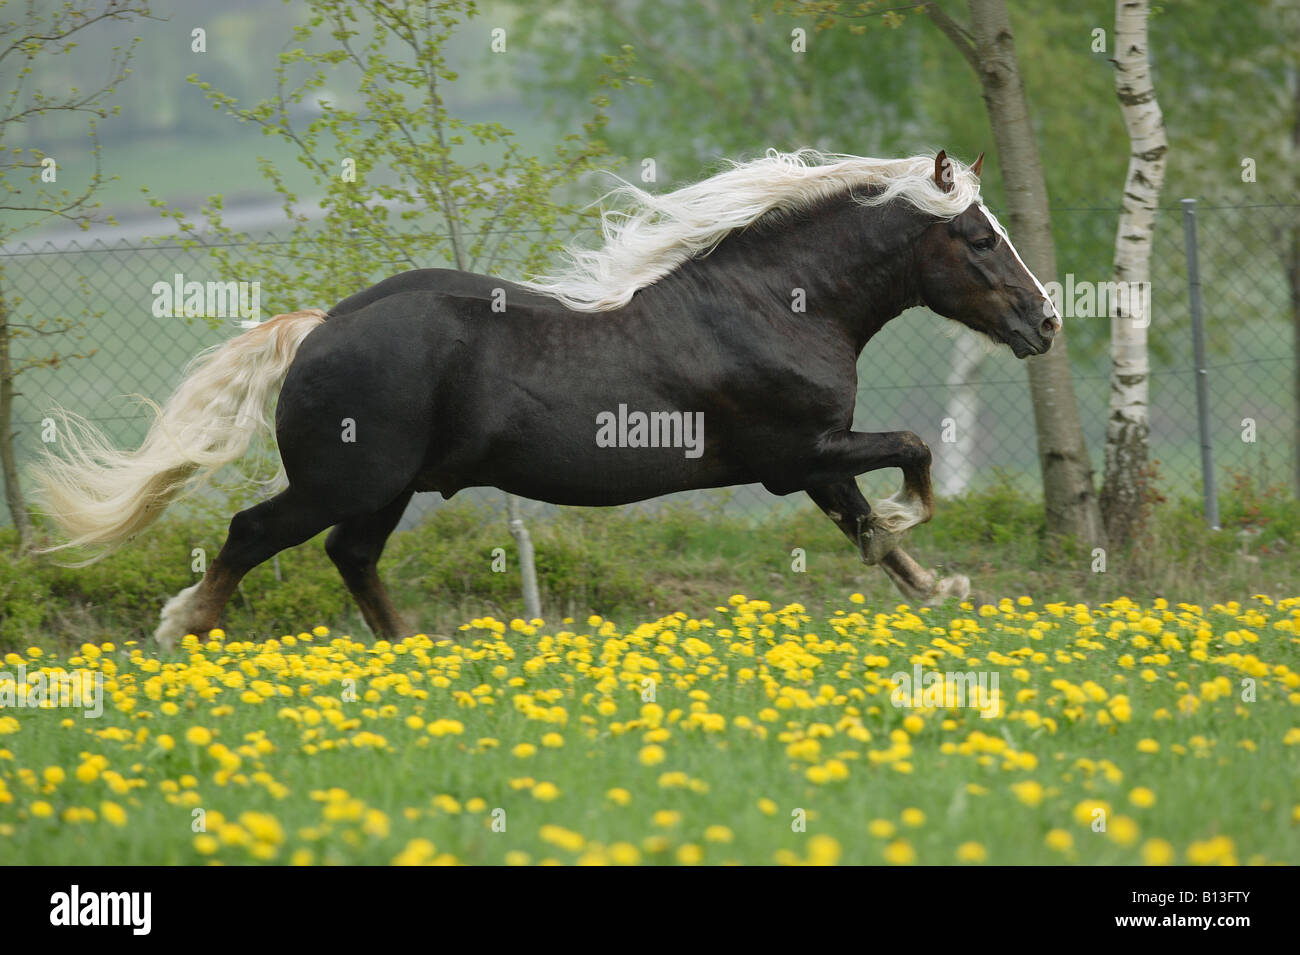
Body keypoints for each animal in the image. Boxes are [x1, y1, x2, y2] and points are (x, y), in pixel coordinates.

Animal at [32, 149, 1061, 649]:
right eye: (977, 237)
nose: (1046, 321)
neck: (774, 303)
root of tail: (320, 327)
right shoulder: (794, 457)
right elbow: (912, 457)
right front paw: (922, 530)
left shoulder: (814, 460)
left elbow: (867, 531)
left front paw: (939, 587)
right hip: (345, 479)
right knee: (255, 531)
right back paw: (187, 625)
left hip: (384, 488)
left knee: (350, 555)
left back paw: (414, 651)